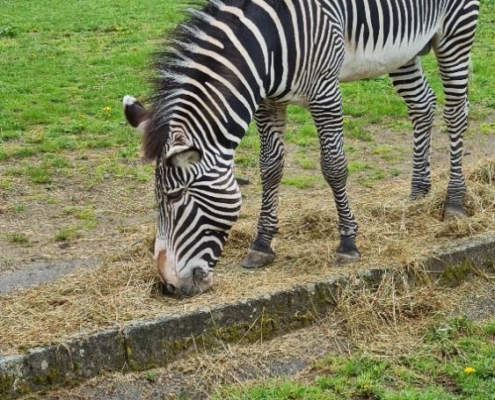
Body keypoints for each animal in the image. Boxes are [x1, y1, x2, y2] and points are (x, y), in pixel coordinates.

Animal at [124, 0, 480, 296]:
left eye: (174, 197)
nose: (168, 286)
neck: (269, 41)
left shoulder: (325, 94)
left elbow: (334, 166)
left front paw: (348, 242)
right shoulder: (267, 102)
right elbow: (270, 168)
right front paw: (262, 244)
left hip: (456, 31)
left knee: (455, 113)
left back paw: (454, 202)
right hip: (404, 50)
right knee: (423, 105)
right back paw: (419, 191)